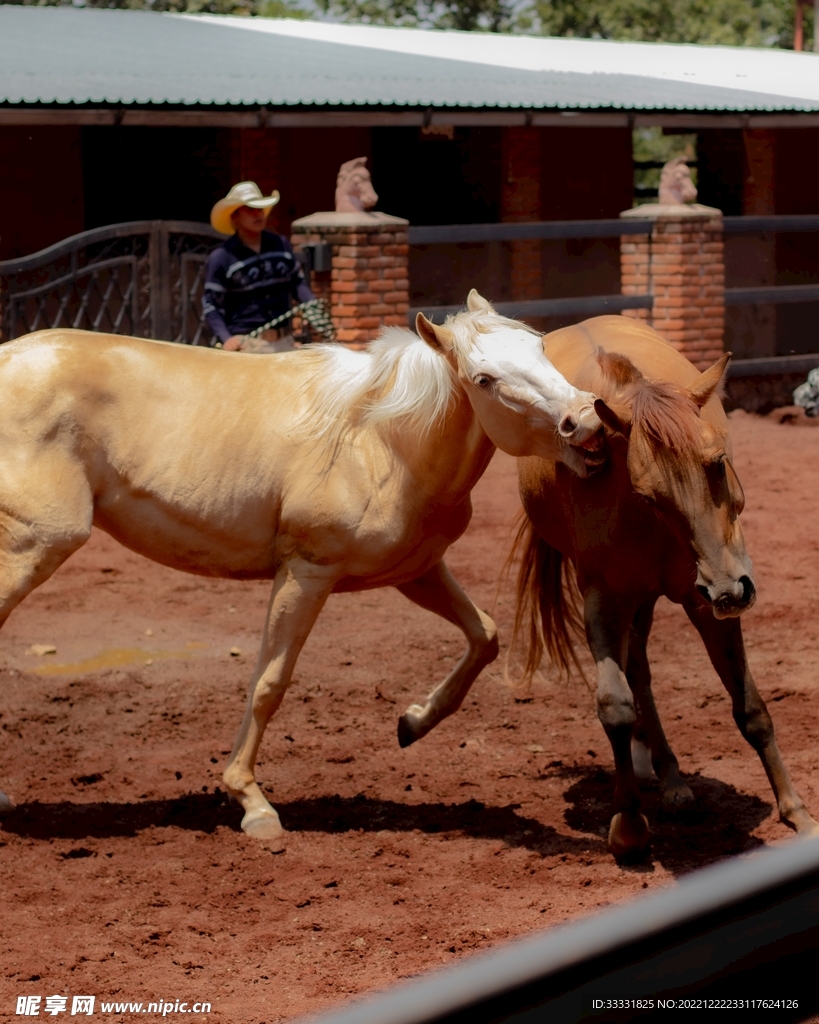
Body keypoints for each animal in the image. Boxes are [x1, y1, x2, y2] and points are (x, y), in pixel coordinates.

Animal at [0, 290, 601, 846]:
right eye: (484, 378)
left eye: (541, 348)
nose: (588, 420)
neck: (378, 441)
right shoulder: (306, 573)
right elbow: (270, 682)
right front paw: (252, 803)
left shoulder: (416, 572)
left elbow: (486, 636)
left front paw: (413, 722)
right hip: (35, 547)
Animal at [513, 315, 818, 861]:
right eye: (649, 494)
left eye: (717, 462)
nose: (732, 591)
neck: (650, 526)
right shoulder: (605, 600)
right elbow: (615, 706)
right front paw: (628, 825)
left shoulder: (704, 604)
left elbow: (751, 709)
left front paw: (799, 816)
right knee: (638, 673)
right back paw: (665, 775)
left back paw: (672, 780)